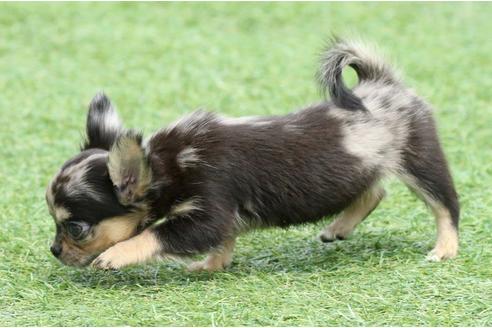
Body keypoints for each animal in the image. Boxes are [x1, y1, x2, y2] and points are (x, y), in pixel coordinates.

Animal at [45, 38, 458, 270]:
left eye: (75, 228)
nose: (54, 251)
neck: (168, 164)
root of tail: (382, 83)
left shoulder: (208, 213)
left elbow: (154, 235)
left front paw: (115, 256)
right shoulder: (222, 218)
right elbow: (224, 241)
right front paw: (211, 266)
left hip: (421, 161)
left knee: (446, 206)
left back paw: (445, 250)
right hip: (364, 165)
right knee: (374, 190)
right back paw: (338, 228)